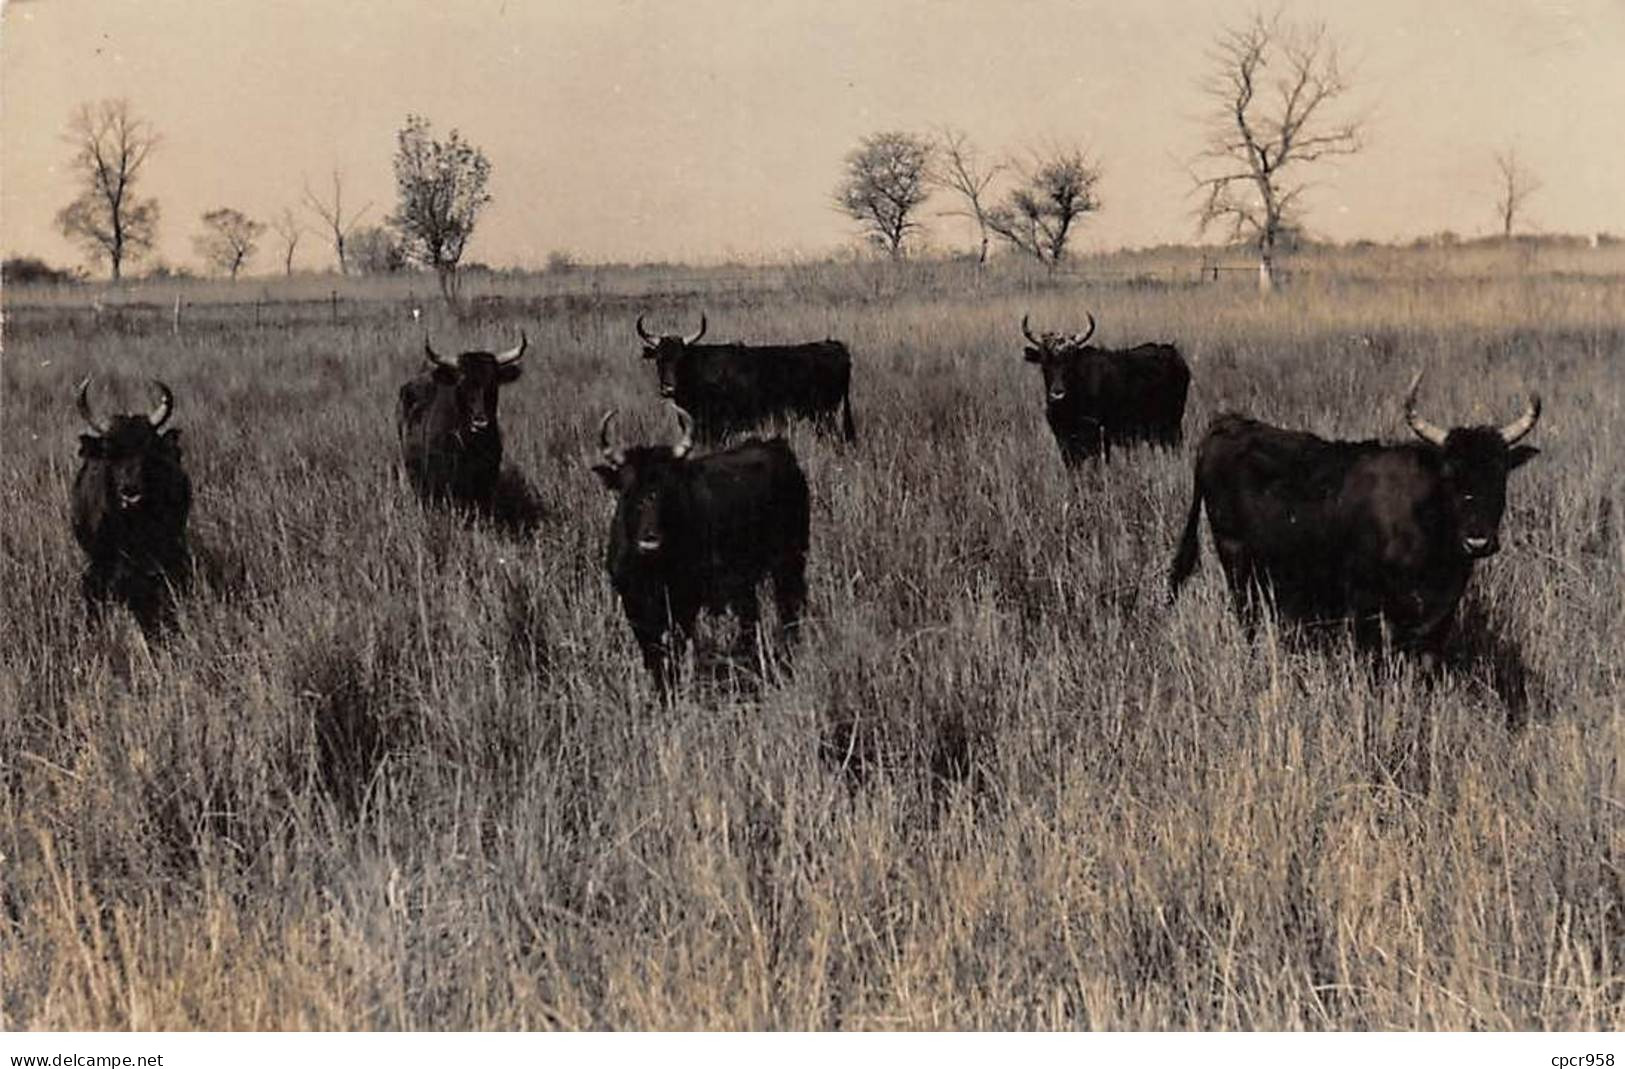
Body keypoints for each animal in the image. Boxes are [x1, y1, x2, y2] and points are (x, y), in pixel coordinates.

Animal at [594, 404, 809, 685]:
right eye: (627, 489)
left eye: (668, 488)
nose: (650, 539)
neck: (651, 569)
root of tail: (778, 448)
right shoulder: (635, 608)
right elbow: (653, 658)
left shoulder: (684, 606)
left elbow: (674, 653)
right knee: (750, 621)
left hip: (790, 562)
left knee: (789, 610)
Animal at [637, 311, 858, 441]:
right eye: (659, 359)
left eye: (681, 359)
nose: (668, 388)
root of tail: (833, 345)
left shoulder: (718, 431)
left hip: (826, 416)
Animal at [1020, 310, 1189, 464]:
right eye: (1044, 362)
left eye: (1070, 361)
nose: (1057, 393)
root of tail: (1174, 354)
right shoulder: (1064, 441)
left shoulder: (1094, 438)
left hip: (1173, 427)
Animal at [1170, 375, 1534, 656]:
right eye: (1449, 475)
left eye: (1500, 474)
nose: (1478, 541)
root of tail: (1226, 424)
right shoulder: (1365, 606)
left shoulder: (1438, 617)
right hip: (1234, 559)